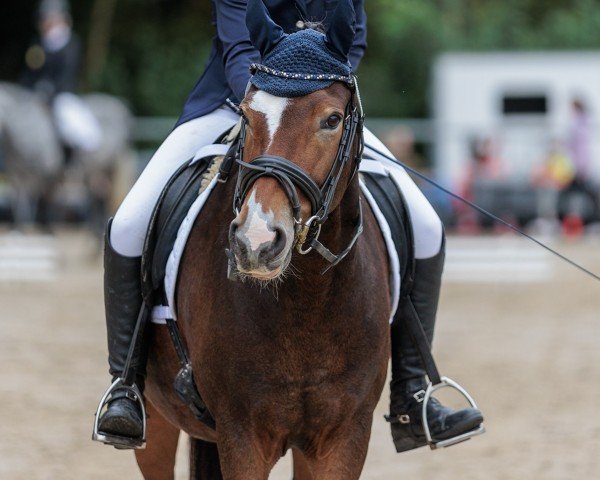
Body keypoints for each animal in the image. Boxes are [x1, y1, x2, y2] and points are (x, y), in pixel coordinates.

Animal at [0, 82, 136, 232]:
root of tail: (120, 105)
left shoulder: (45, 171)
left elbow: (42, 197)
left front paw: (45, 225)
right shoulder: (17, 173)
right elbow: (19, 198)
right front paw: (18, 225)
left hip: (109, 166)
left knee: (102, 194)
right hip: (97, 168)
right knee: (98, 193)